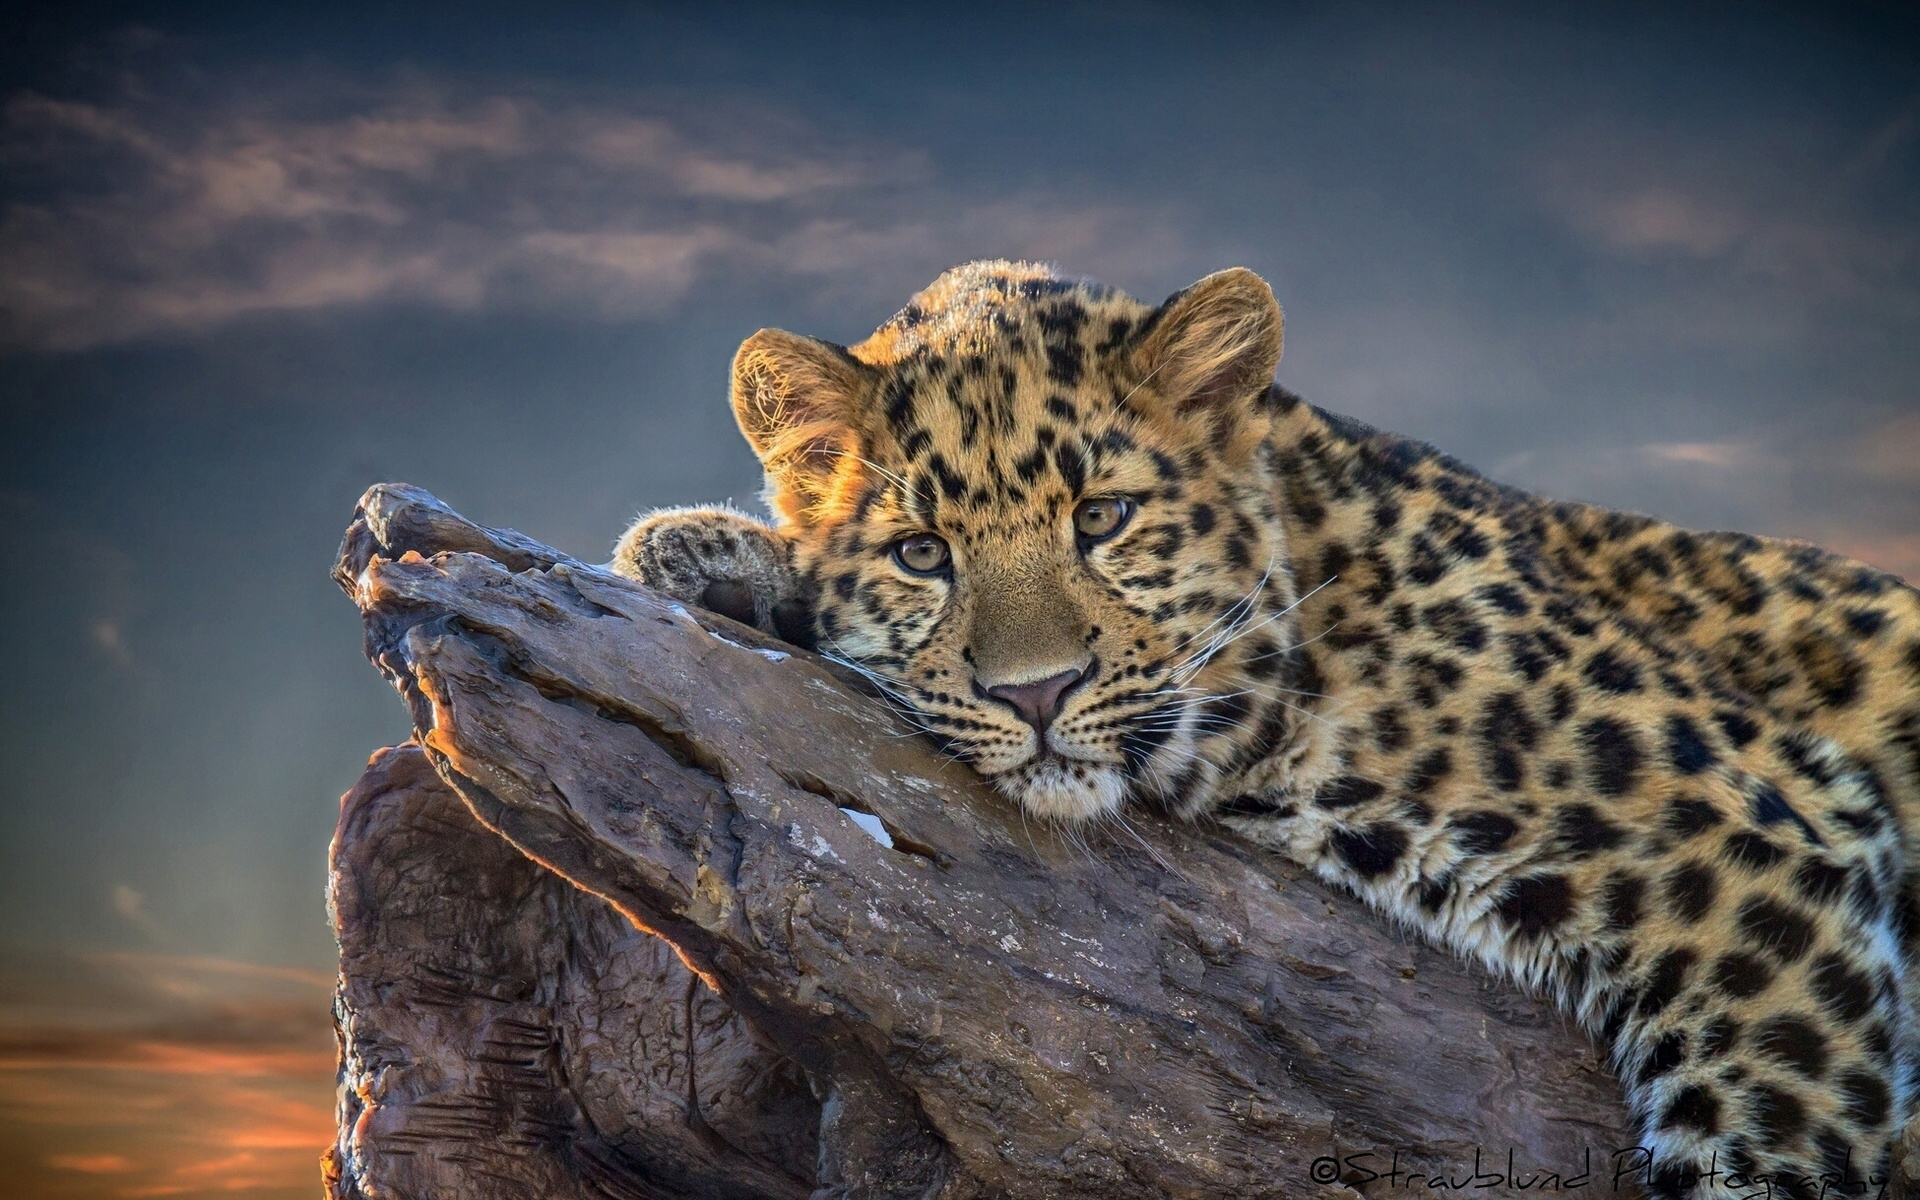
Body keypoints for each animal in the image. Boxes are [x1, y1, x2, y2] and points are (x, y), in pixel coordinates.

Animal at [610, 257, 1920, 1190]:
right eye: (922, 555)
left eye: (1105, 517)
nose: (1034, 693)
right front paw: (710, 556)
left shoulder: (1764, 848)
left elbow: (1771, 1139)